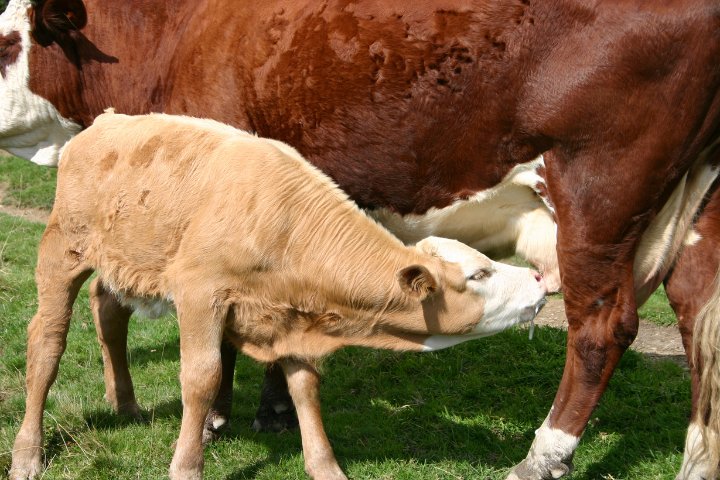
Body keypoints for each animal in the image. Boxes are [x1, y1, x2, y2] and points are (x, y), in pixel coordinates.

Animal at [8, 111, 544, 480]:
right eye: (478, 273)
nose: (540, 281)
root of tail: (106, 121)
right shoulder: (200, 291)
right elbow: (202, 378)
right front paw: (186, 466)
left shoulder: (291, 317)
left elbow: (305, 385)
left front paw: (326, 466)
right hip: (62, 248)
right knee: (47, 341)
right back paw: (28, 452)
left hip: (126, 258)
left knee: (108, 310)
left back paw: (125, 404)